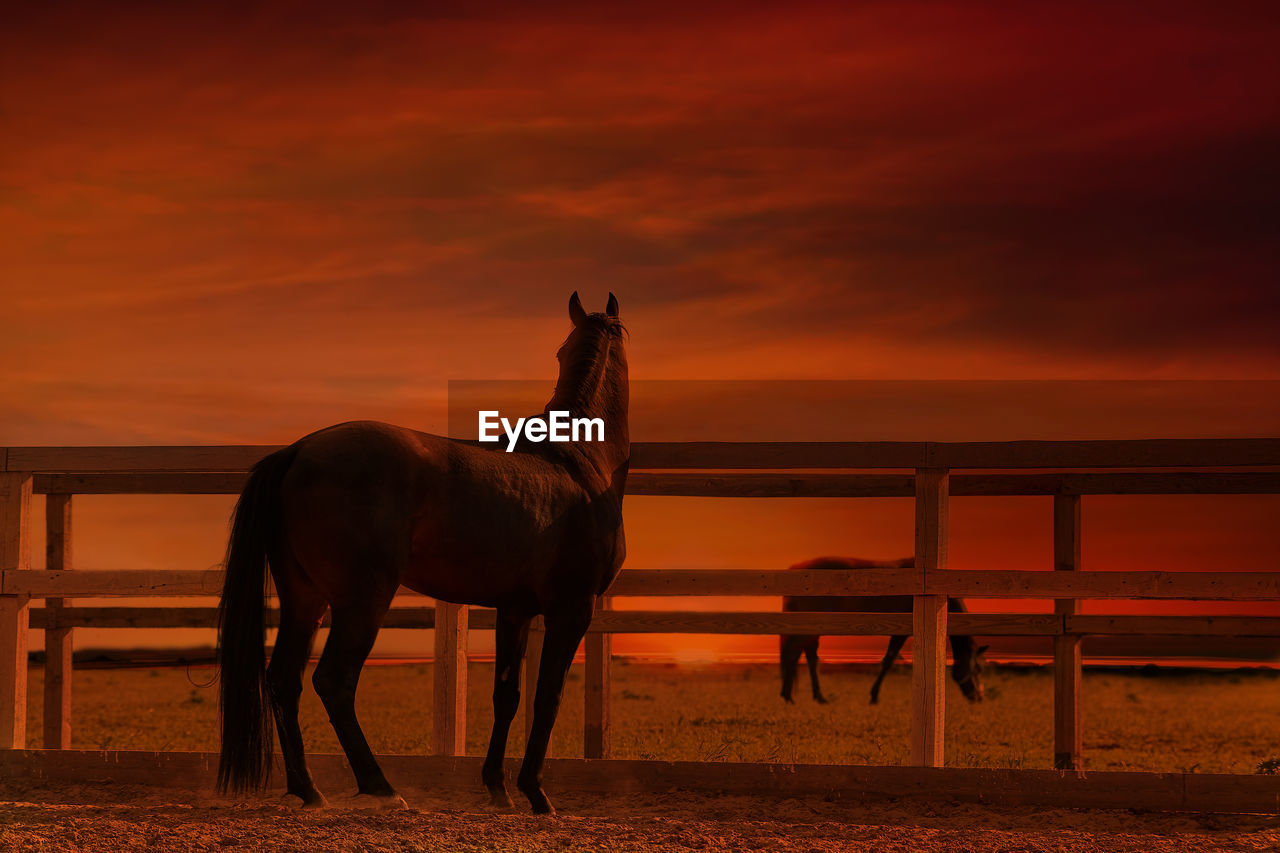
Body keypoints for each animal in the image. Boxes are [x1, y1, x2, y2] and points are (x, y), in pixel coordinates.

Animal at [218, 290, 629, 809]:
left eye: (561, 351)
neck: (578, 462)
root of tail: (297, 451)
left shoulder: (514, 609)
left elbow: (507, 696)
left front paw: (498, 788)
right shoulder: (571, 610)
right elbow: (547, 697)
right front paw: (536, 794)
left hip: (305, 600)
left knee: (283, 682)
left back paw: (309, 790)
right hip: (362, 601)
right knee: (333, 681)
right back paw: (380, 787)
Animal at [778, 555, 988, 701]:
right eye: (977, 669)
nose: (979, 697)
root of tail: (795, 568)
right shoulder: (900, 631)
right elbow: (888, 660)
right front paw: (874, 696)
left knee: (804, 656)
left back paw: (804, 695)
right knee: (795, 653)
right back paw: (794, 696)